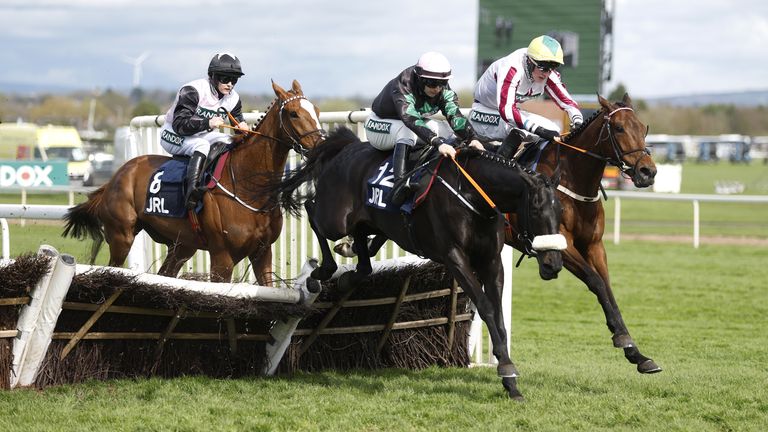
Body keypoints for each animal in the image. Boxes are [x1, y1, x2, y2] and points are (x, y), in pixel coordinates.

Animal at [61, 80, 322, 284]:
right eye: (294, 113)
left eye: (317, 111)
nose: (320, 146)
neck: (247, 186)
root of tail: (116, 176)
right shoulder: (222, 257)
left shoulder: (262, 252)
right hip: (121, 236)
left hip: (182, 246)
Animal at [268, 125, 564, 398]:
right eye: (536, 210)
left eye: (561, 210)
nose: (553, 263)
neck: (471, 194)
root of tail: (348, 147)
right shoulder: (455, 257)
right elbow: (487, 308)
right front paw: (506, 370)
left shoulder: (491, 261)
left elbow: (498, 312)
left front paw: (510, 379)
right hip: (336, 220)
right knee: (311, 210)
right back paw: (321, 272)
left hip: (367, 220)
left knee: (363, 258)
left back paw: (346, 276)